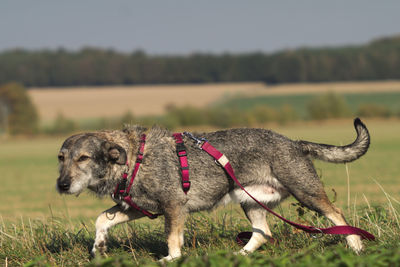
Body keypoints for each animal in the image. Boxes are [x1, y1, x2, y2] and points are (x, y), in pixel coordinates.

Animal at [56, 118, 368, 260]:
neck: (133, 159)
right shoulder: (138, 208)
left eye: (83, 158)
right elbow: (101, 220)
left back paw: (355, 246)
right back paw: (240, 256)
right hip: (250, 201)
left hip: (307, 193)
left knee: (338, 216)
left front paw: (172, 259)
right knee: (263, 233)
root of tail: (295, 143)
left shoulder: (174, 207)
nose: (62, 185)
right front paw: (98, 247)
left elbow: (172, 238)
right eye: (61, 158)